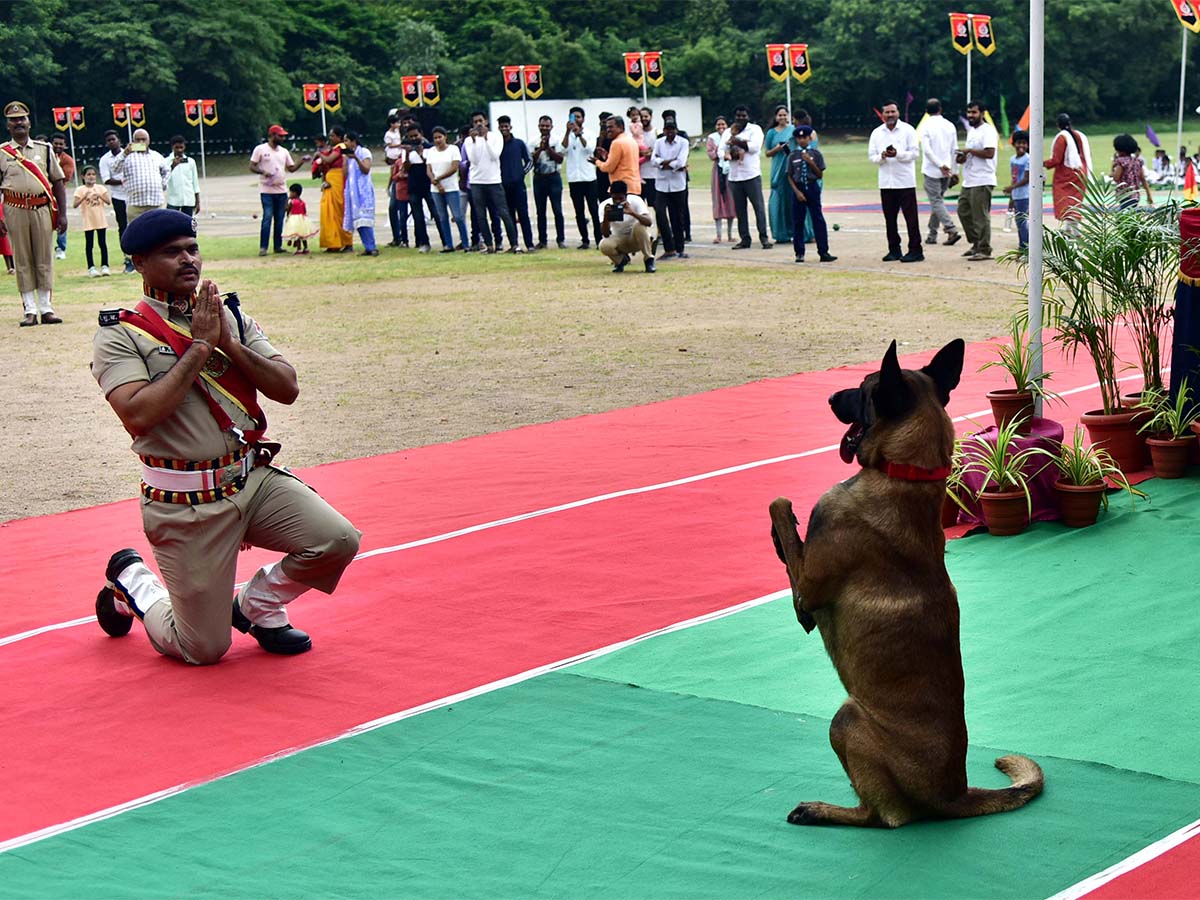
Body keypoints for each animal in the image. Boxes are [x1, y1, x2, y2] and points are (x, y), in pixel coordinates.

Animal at [768, 340, 1041, 830]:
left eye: (862, 388)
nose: (829, 397)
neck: (904, 471)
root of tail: (956, 793)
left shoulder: (810, 578)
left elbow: (780, 508)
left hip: (847, 719)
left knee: (884, 816)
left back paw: (822, 810)